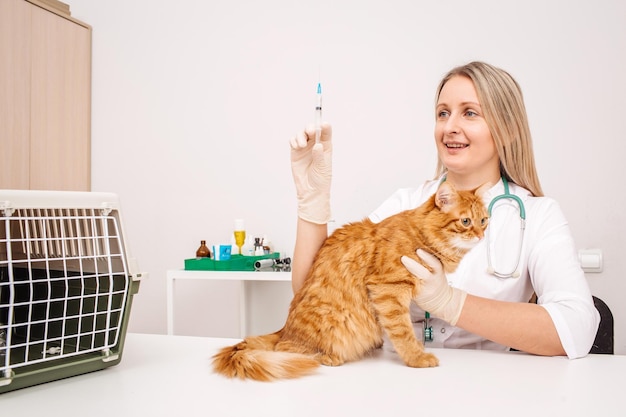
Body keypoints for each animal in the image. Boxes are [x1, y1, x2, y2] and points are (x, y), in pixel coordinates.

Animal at [212, 180, 490, 378]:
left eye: (484, 220)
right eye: (466, 221)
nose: (481, 236)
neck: (422, 236)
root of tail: (284, 329)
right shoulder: (388, 289)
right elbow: (403, 332)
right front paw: (417, 358)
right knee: (287, 351)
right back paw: (326, 357)